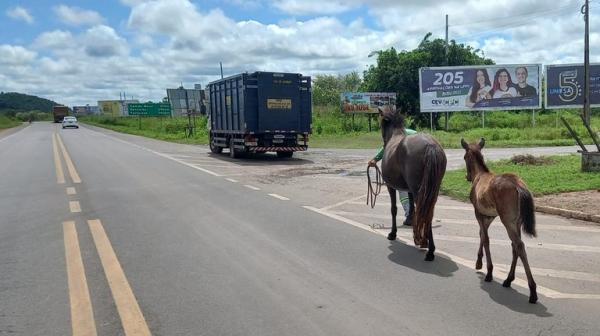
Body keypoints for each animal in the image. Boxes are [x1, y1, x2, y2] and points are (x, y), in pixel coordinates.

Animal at [380, 106, 446, 262]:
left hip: (419, 191)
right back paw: (427, 245)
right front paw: (410, 222)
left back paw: (428, 249)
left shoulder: (390, 187)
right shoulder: (408, 189)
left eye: (381, 124)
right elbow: (412, 208)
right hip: (432, 191)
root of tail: (430, 145)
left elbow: (393, 209)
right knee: (429, 212)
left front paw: (393, 234)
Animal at [462, 138, 536, 304]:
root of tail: (519, 187)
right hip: (516, 221)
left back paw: (533, 291)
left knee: (519, 245)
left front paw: (489, 272)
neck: (479, 174)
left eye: (464, 157)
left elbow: (486, 238)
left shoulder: (478, 212)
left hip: (507, 219)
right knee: (515, 246)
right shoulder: (490, 216)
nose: (467, 177)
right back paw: (508, 279)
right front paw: (479, 262)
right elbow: (482, 235)